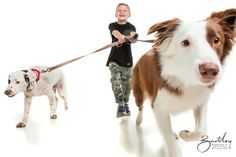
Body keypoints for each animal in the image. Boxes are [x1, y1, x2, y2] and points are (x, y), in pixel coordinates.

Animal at [132, 8, 235, 157]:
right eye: (185, 42)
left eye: (216, 40)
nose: (210, 70)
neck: (187, 78)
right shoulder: (158, 106)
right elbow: (169, 138)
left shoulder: (201, 101)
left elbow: (201, 132)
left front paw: (185, 134)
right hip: (139, 92)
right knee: (140, 107)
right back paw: (138, 120)